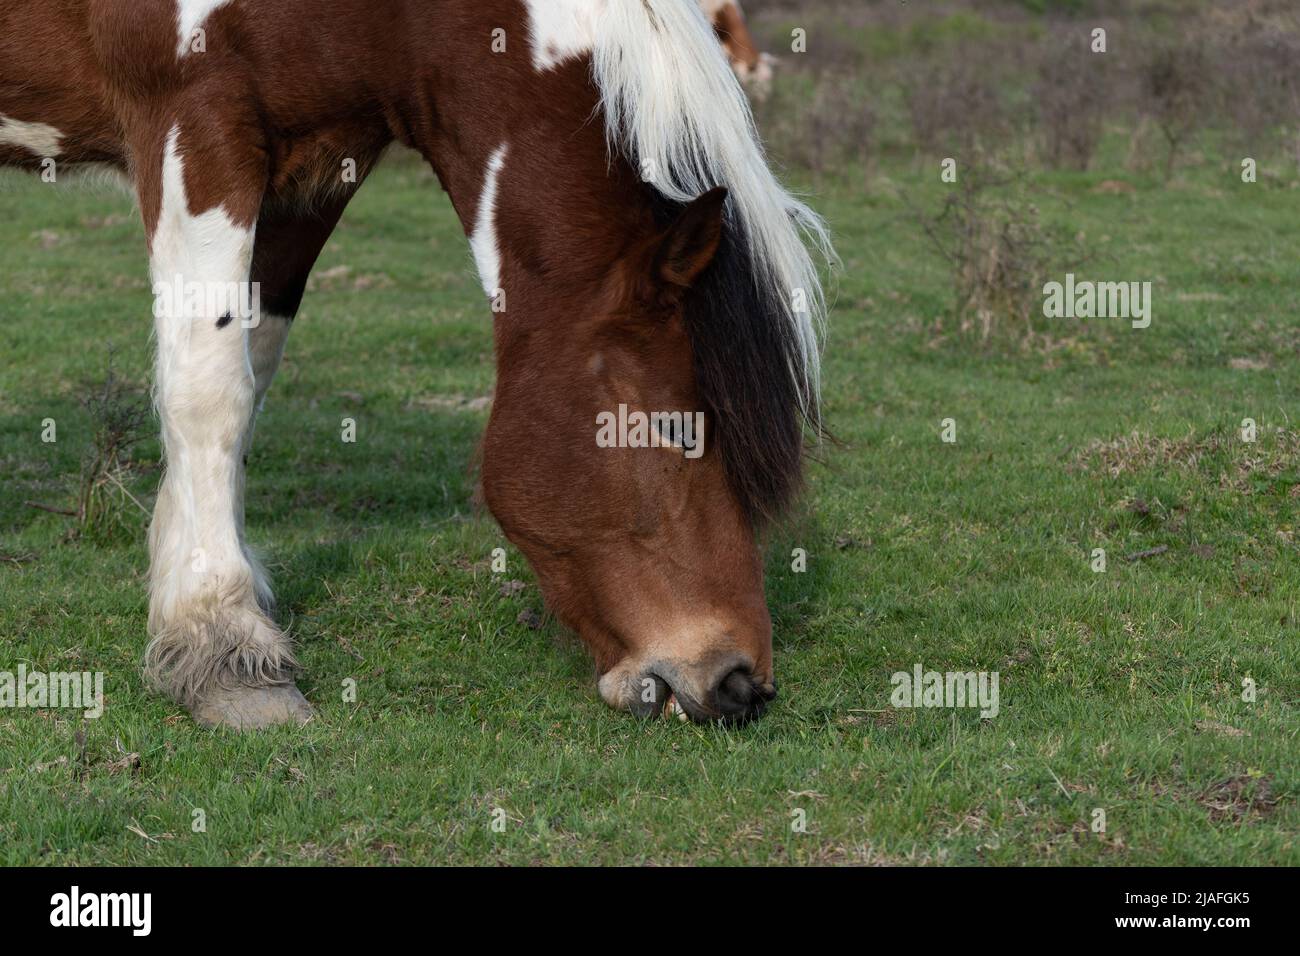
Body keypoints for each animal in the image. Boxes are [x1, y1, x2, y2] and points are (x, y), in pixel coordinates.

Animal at [0, 0, 826, 728]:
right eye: (673, 428)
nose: (739, 680)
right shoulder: (195, 123)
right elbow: (210, 389)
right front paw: (224, 642)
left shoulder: (314, 165)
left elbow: (251, 374)